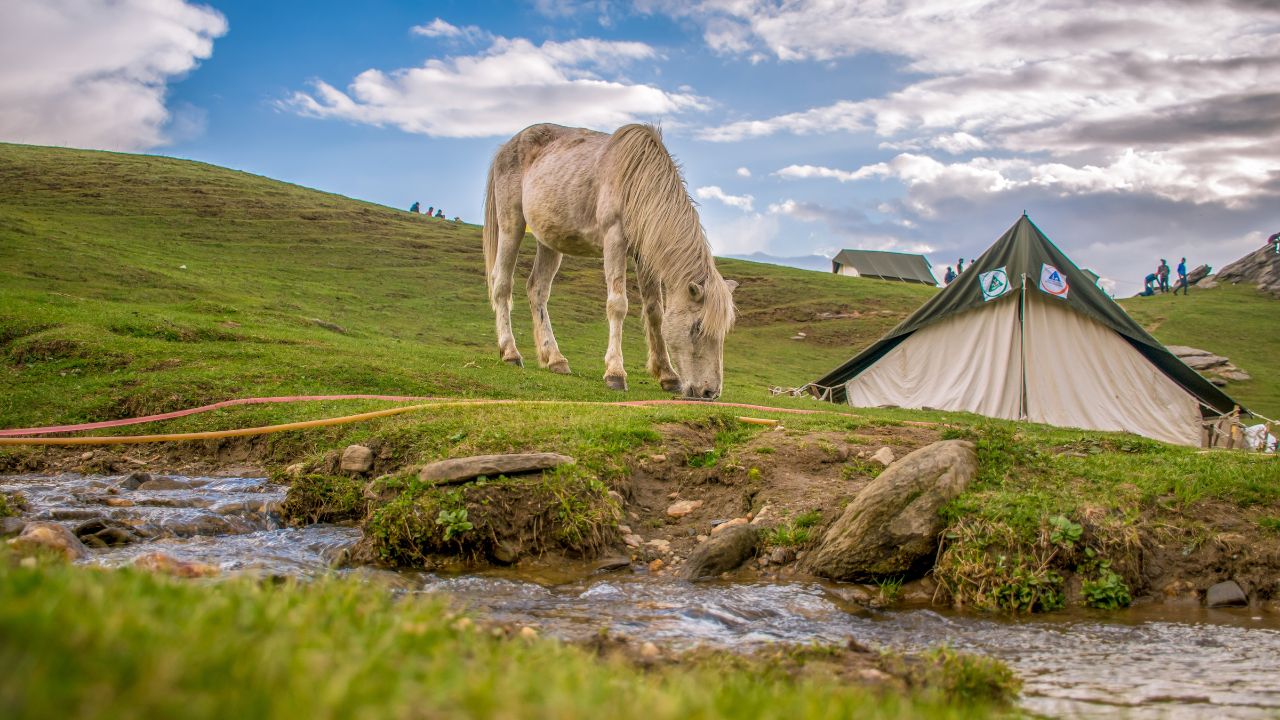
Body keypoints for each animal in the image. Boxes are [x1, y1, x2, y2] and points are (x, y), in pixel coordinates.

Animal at [481, 120, 742, 394]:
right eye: (697, 327)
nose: (709, 392)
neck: (636, 179)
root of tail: (507, 146)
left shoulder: (644, 255)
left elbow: (655, 311)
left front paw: (667, 375)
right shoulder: (614, 239)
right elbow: (618, 305)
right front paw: (615, 372)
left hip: (549, 241)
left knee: (537, 290)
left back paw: (555, 359)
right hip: (511, 224)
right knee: (502, 284)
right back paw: (510, 352)